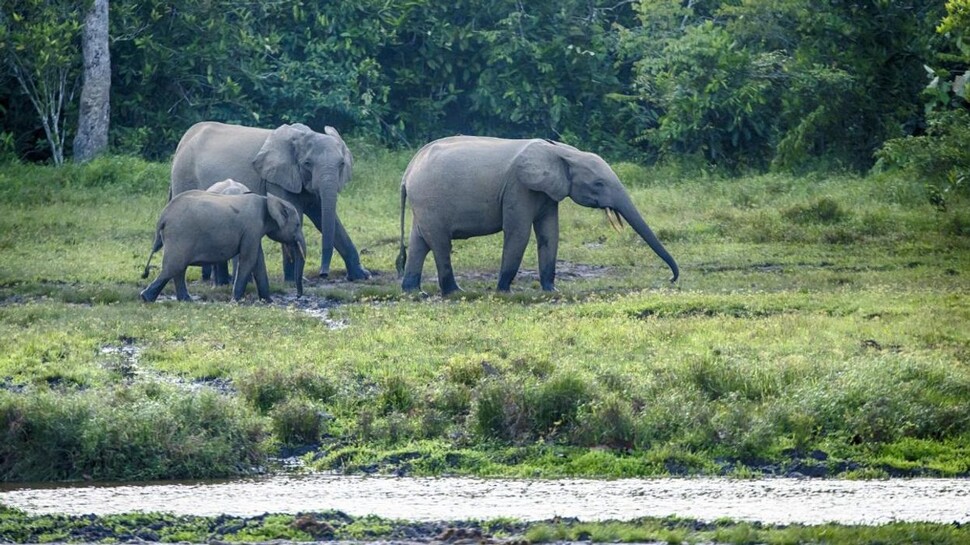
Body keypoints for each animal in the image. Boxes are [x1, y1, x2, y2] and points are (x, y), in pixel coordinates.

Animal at [140, 190, 304, 302]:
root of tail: (163, 217)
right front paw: (236, 301)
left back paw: (185, 300)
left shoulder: (254, 232)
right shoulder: (252, 228)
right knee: (174, 266)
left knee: (178, 268)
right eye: (297, 225)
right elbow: (248, 260)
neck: (268, 200)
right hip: (180, 235)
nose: (298, 296)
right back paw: (146, 298)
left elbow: (258, 262)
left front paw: (268, 301)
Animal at [170, 122, 370, 284]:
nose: (323, 274)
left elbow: (326, 218)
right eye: (307, 163)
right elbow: (293, 215)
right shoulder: (277, 179)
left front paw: (362, 276)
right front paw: (294, 281)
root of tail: (182, 142)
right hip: (184, 176)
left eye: (342, 164)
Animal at [398, 138, 676, 296]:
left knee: (420, 242)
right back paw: (455, 292)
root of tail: (408, 171)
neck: (563, 152)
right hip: (430, 200)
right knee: (440, 244)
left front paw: (552, 290)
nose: (672, 279)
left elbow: (549, 233)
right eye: (598, 184)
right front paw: (504, 292)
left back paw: (414, 292)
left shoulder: (548, 193)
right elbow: (518, 233)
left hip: (423, 204)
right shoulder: (518, 187)